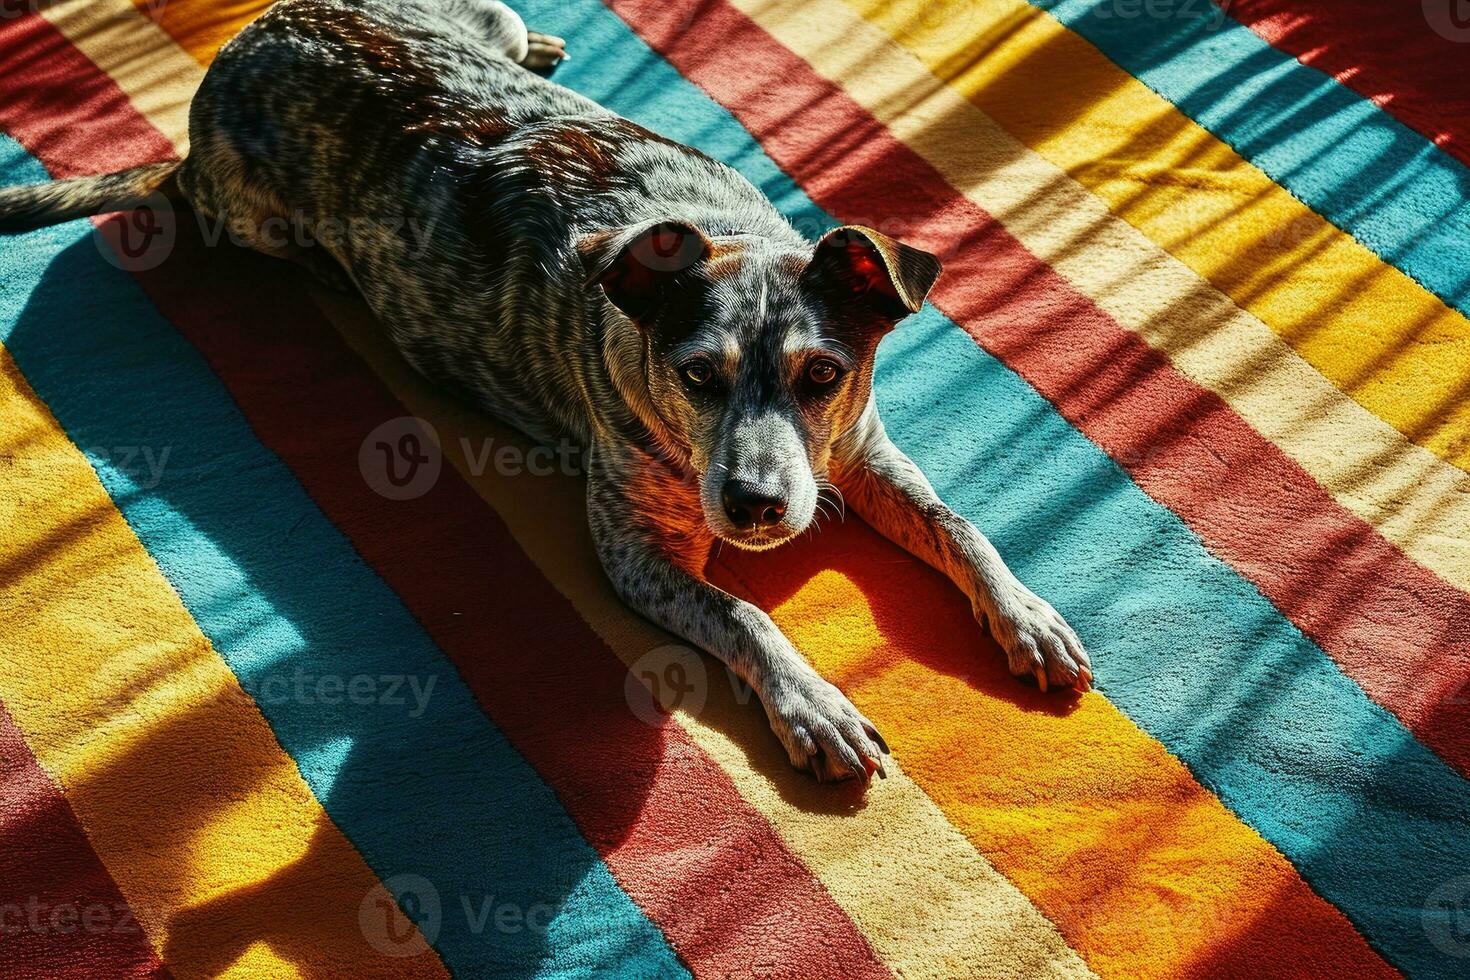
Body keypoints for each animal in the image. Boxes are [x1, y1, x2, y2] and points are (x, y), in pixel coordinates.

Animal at [2, 0, 1093, 781]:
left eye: (823, 374)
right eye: (696, 375)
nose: (755, 506)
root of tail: (237, 49)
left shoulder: (859, 449)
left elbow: (959, 525)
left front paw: (1027, 614)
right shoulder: (635, 552)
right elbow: (745, 614)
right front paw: (811, 703)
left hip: (481, 20)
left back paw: (548, 47)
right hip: (255, 214)